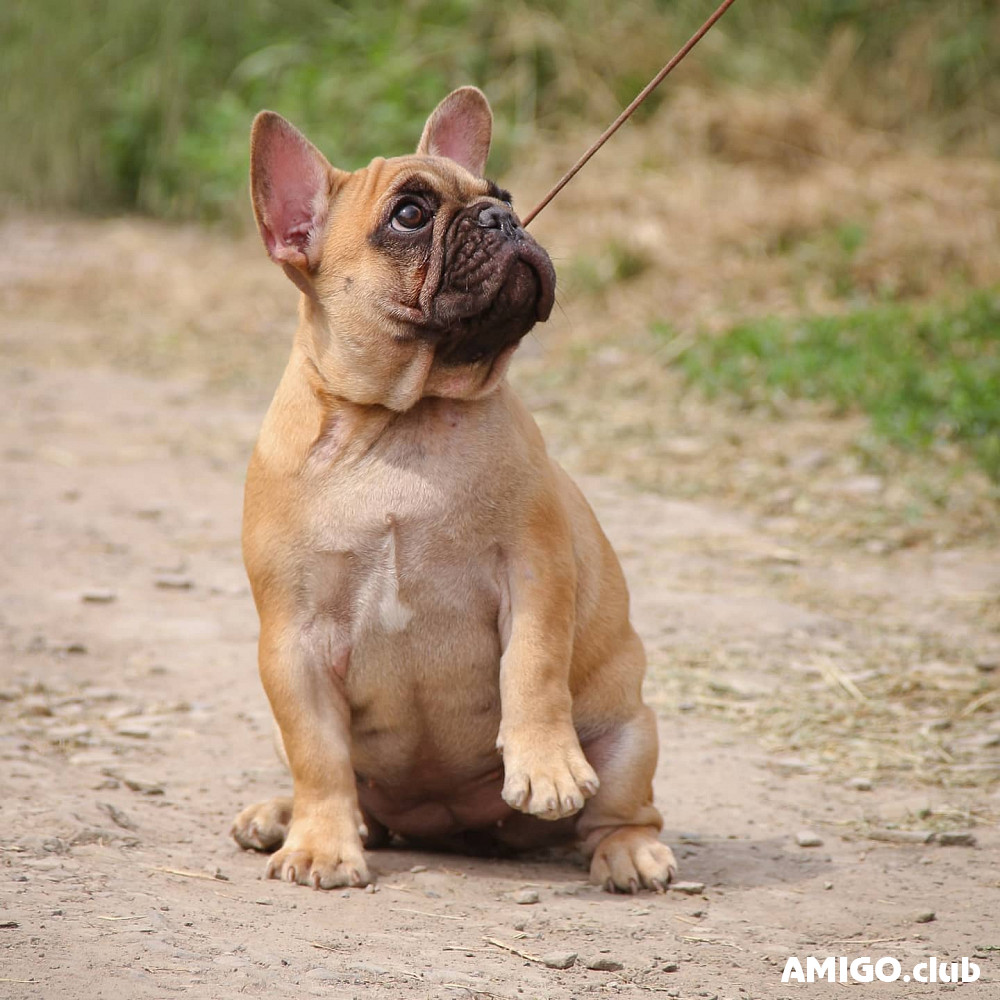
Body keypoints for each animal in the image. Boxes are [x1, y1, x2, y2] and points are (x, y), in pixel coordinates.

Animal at [230, 90, 676, 896]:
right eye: (409, 214)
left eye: (507, 197)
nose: (502, 221)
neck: (401, 418)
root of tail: (443, 825)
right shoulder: (293, 641)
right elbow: (318, 755)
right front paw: (320, 844)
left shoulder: (535, 574)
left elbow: (533, 669)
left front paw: (546, 766)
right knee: (337, 787)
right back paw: (282, 815)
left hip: (631, 734)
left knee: (621, 812)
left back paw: (628, 853)